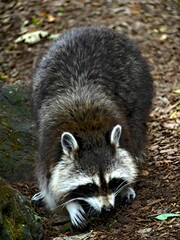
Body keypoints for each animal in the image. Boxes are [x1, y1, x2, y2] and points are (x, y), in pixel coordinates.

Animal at [31, 26, 153, 229]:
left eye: (112, 181)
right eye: (89, 186)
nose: (107, 209)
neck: (88, 132)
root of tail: (94, 27)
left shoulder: (123, 131)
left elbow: (129, 156)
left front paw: (126, 185)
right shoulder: (47, 145)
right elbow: (50, 182)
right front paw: (70, 203)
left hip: (139, 84)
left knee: (137, 131)